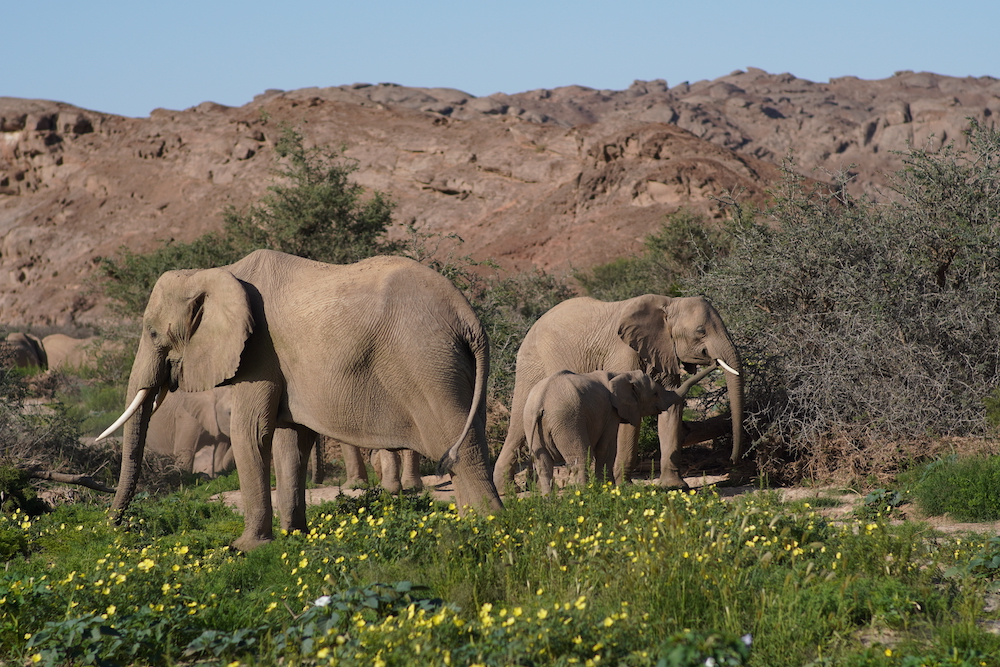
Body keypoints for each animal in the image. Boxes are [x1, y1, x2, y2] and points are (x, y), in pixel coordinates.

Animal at [101, 248, 500, 552]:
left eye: (153, 333)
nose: (116, 526)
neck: (214, 273)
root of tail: (467, 317)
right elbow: (291, 440)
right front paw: (295, 537)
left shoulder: (259, 351)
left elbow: (252, 433)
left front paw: (245, 548)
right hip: (455, 367)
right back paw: (475, 524)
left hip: (428, 364)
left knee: (461, 448)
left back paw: (489, 528)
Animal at [524, 362, 720, 494]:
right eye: (655, 393)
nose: (716, 362)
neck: (620, 375)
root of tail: (541, 399)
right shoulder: (610, 412)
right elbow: (607, 447)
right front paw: (608, 490)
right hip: (567, 420)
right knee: (579, 457)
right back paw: (585, 494)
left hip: (533, 420)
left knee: (543, 463)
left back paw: (549, 501)